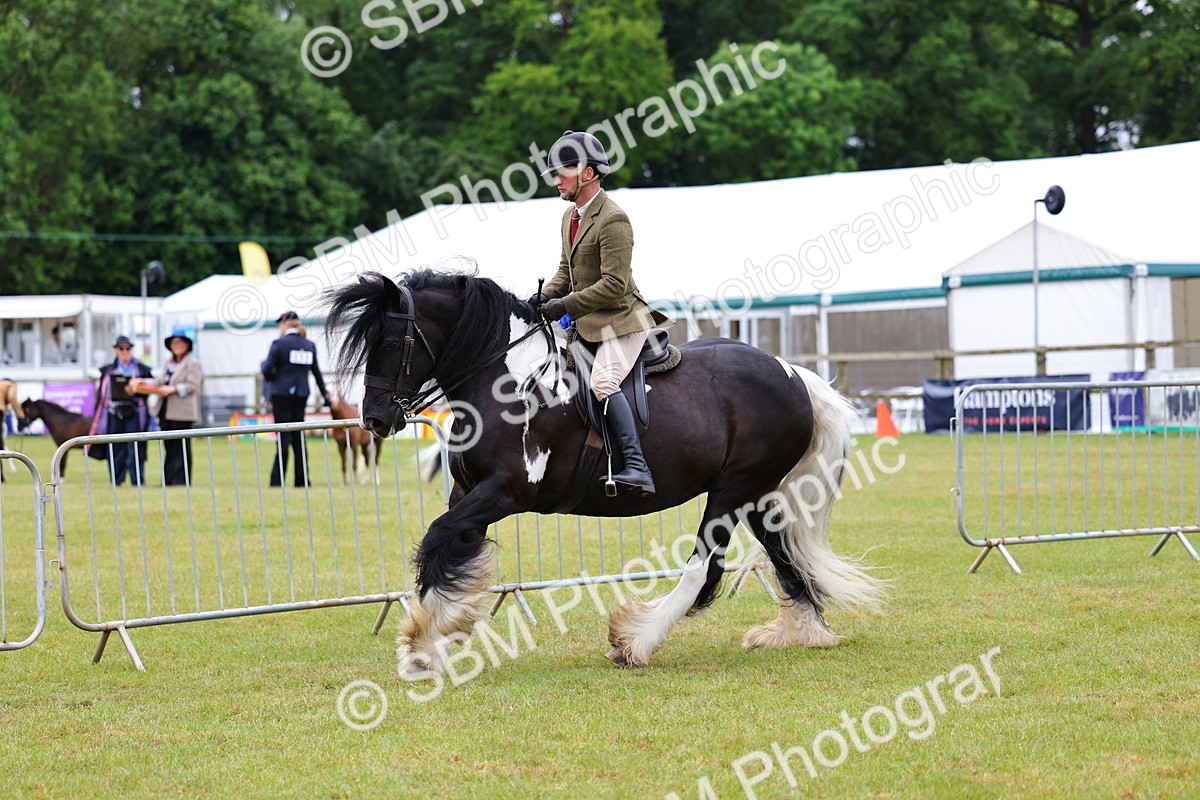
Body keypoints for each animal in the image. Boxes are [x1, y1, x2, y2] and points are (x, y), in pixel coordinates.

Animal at [325, 270, 885, 676]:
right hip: (755, 495)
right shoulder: (468, 492)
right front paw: (430, 644)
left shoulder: (504, 492)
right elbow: (447, 553)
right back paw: (799, 631)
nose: (374, 421)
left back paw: (635, 642)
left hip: (732, 491)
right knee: (784, 555)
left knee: (701, 569)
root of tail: (793, 375)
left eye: (392, 343)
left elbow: (437, 541)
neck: (508, 381)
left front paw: (422, 647)